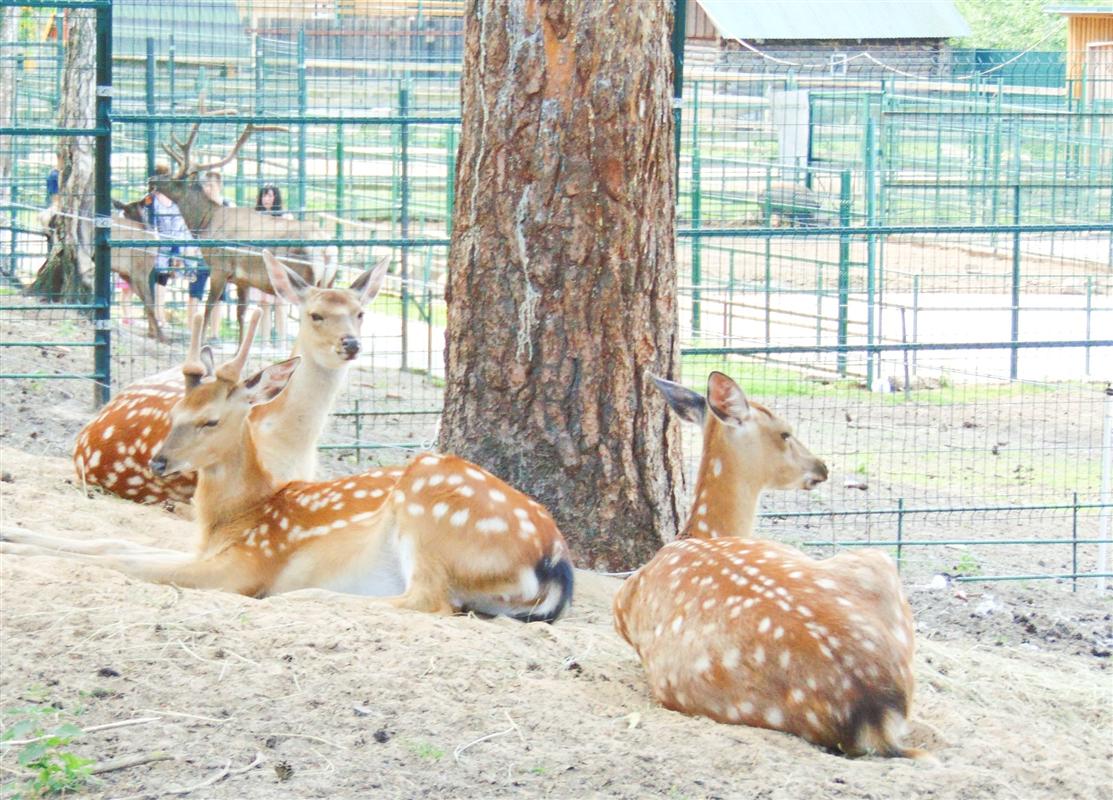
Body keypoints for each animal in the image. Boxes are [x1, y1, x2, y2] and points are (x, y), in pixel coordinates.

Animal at [8, 309, 578, 623]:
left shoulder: (245, 564)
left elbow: (126, 563)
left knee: (430, 601)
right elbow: (111, 542)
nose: (160, 460)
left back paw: (308, 594)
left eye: (211, 420)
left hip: (430, 512)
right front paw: (14, 536)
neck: (239, 516)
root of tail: (554, 560)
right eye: (174, 414)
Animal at [150, 115, 338, 338]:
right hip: (329, 282)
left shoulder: (220, 267)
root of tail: (327, 252)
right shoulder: (243, 280)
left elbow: (208, 308)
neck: (206, 222)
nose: (152, 178)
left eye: (177, 176)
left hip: (304, 281)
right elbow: (241, 314)